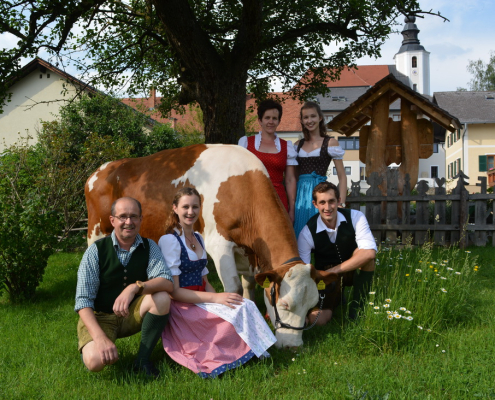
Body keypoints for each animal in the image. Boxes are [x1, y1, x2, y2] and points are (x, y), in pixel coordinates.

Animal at [87, 145, 340, 346]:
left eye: (312, 306)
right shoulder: (219, 244)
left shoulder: (249, 253)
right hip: (96, 230)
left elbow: (249, 287)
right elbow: (234, 289)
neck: (241, 186)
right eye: (285, 305)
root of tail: (103, 168)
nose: (293, 347)